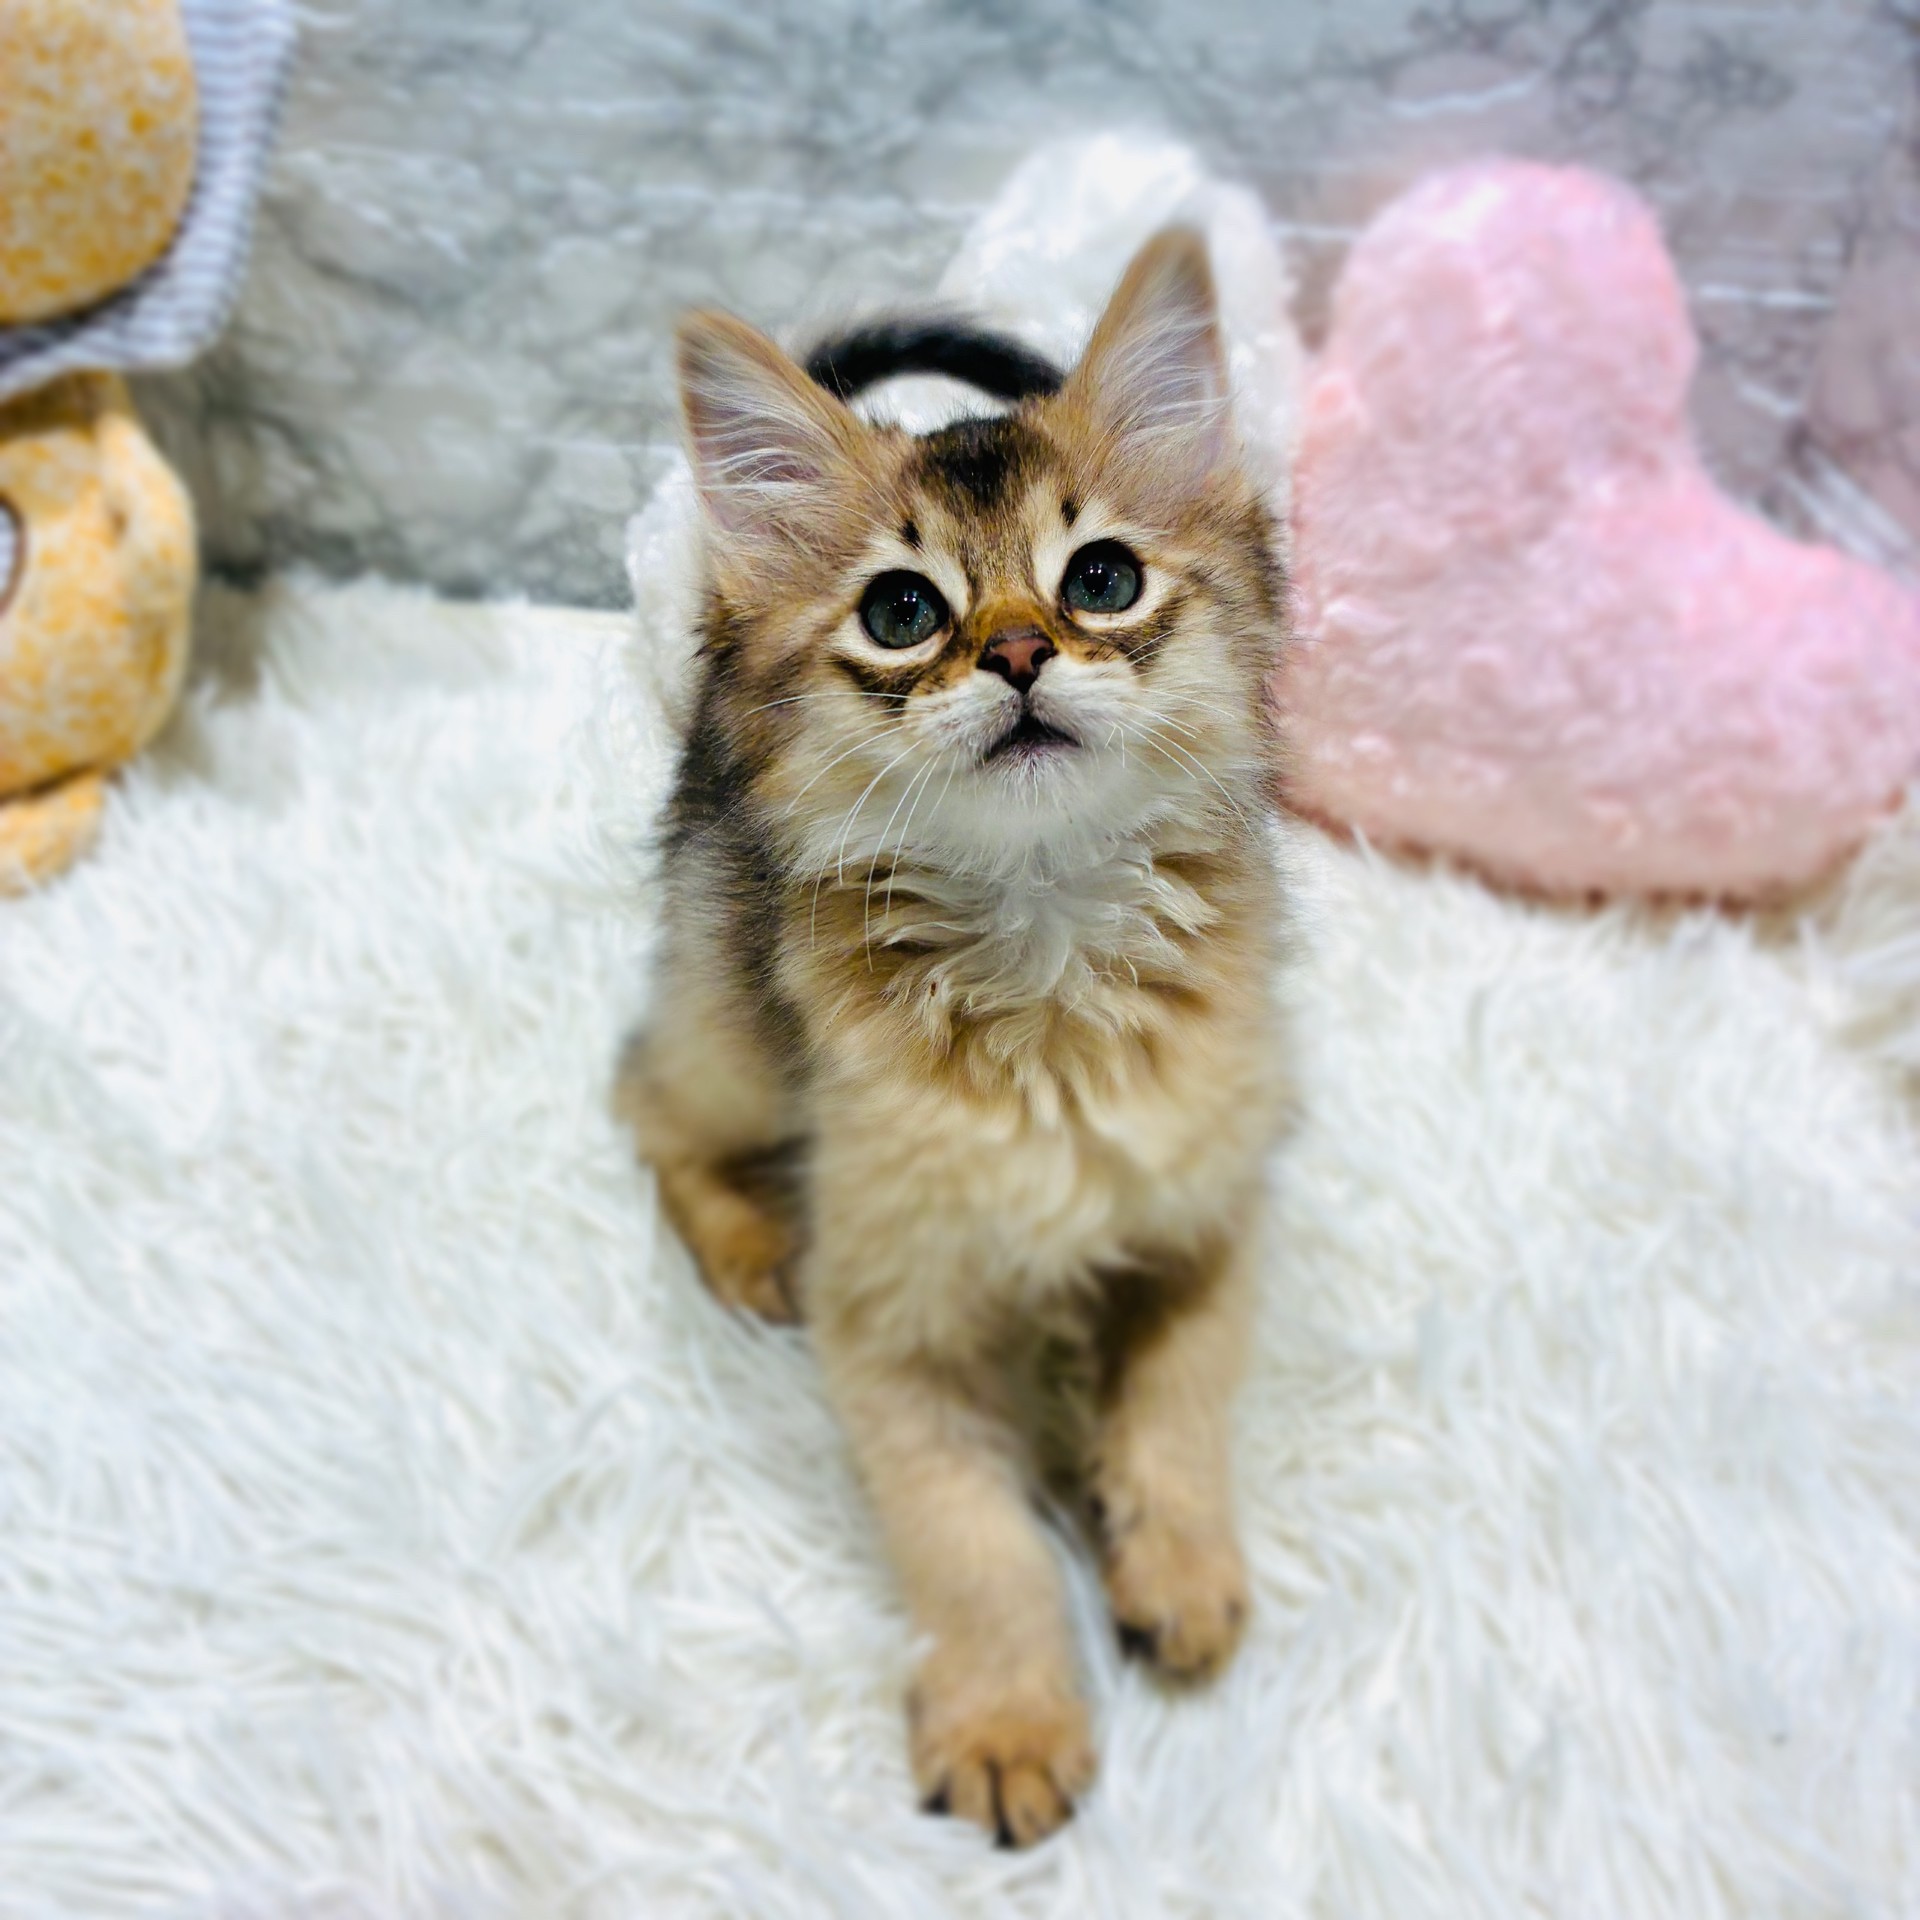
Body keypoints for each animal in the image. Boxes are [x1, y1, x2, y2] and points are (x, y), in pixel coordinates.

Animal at [619, 229, 1292, 1847]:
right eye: (904, 613)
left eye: (1101, 578)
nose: (1023, 653)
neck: (1047, 977)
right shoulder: (893, 1318)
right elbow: (969, 1541)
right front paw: (1010, 1722)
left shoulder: (1211, 1210)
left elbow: (1179, 1405)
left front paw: (1178, 1573)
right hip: (728, 1027)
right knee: (641, 1099)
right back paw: (750, 1246)